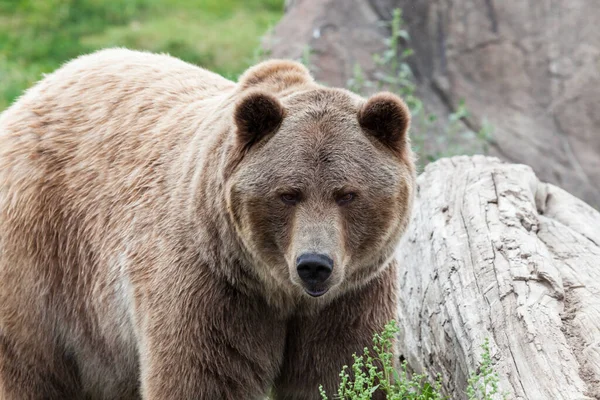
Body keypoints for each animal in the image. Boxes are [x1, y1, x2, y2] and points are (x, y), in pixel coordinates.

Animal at [0, 48, 412, 398]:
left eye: (347, 194)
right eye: (288, 193)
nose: (314, 264)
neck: (279, 292)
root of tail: (37, 89)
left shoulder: (351, 296)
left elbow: (342, 371)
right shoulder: (211, 284)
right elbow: (203, 377)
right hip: (42, 255)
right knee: (26, 364)